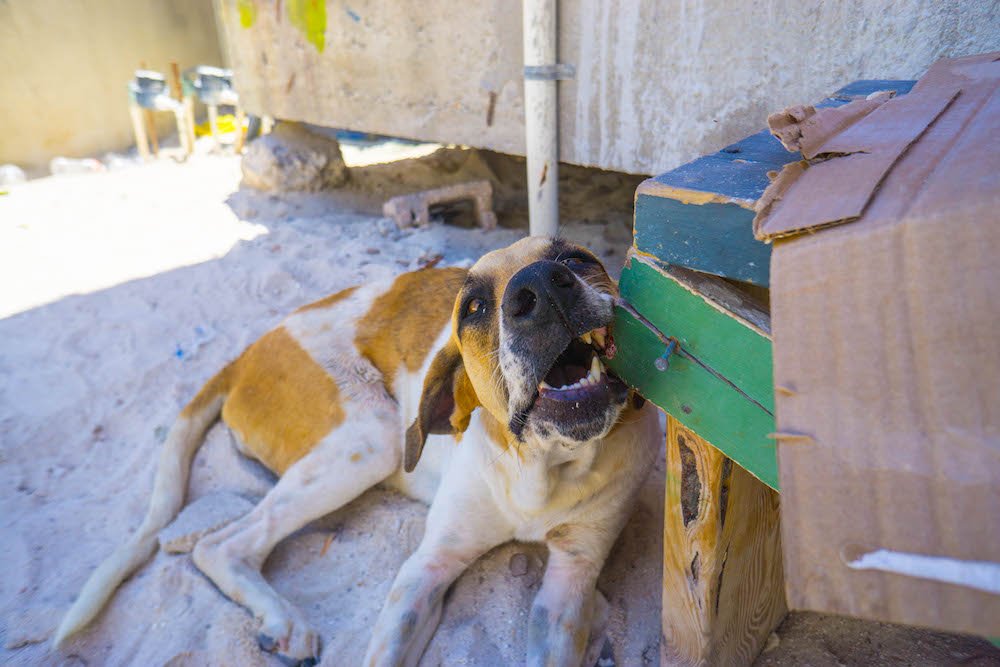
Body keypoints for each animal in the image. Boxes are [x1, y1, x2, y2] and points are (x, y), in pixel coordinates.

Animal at [54, 237, 664, 667]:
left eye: (576, 258)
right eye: (472, 307)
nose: (541, 285)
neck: (541, 469)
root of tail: (247, 352)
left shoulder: (570, 580)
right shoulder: (427, 566)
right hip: (370, 440)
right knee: (220, 545)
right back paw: (283, 620)